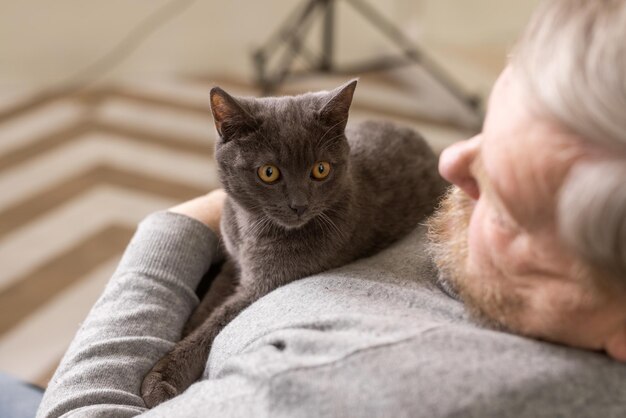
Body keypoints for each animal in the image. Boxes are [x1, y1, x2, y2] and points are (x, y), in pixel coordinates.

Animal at [141, 80, 444, 406]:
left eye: (321, 169)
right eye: (268, 172)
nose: (299, 205)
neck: (252, 229)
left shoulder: (262, 286)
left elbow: (217, 324)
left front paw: (162, 378)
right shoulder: (234, 261)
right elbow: (210, 301)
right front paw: (185, 329)